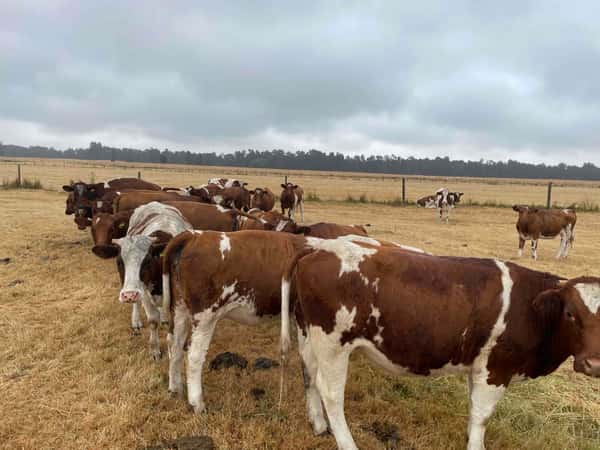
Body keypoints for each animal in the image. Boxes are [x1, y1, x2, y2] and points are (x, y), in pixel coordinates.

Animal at [282, 243, 600, 450]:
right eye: (570, 313)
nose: (593, 364)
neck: (531, 307)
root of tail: (320, 248)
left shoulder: (479, 366)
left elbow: (473, 410)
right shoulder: (497, 367)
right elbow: (483, 415)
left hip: (308, 333)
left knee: (308, 373)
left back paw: (318, 425)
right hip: (333, 343)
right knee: (331, 393)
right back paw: (346, 442)